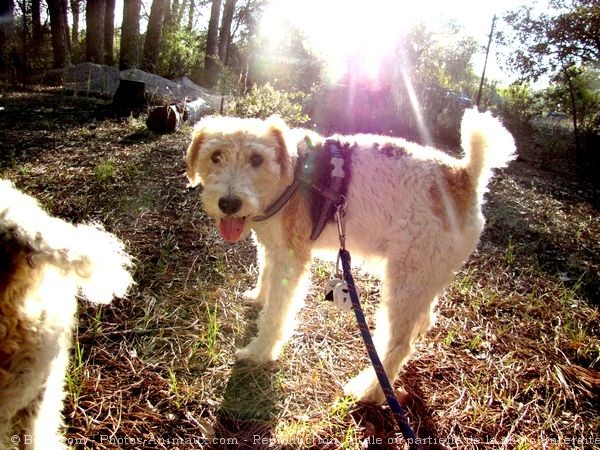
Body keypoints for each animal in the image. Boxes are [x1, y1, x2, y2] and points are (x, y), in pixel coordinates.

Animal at [185, 109, 512, 404]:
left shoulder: (291, 259)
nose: (229, 203)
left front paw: (259, 352)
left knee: (398, 344)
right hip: (424, 274)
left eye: (256, 159)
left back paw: (370, 390)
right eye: (215, 155)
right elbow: (265, 275)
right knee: (425, 319)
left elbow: (277, 313)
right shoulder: (272, 247)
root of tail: (464, 176)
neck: (290, 174)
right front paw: (257, 299)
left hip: (405, 280)